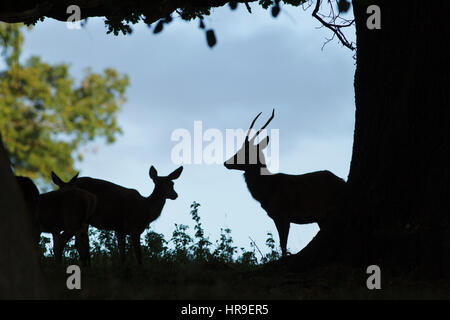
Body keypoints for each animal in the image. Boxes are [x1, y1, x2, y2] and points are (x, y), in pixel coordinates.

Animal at [53, 166, 185, 264]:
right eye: (159, 183)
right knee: (65, 242)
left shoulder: (119, 229)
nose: (175, 195)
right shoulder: (133, 227)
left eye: (172, 183)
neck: (146, 209)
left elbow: (122, 254)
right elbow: (138, 254)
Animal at [223, 110, 346, 258]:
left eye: (246, 152)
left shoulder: (284, 213)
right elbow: (281, 243)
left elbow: (283, 244)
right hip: (322, 217)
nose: (226, 163)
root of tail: (344, 182)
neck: (268, 191)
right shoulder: (275, 216)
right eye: (239, 149)